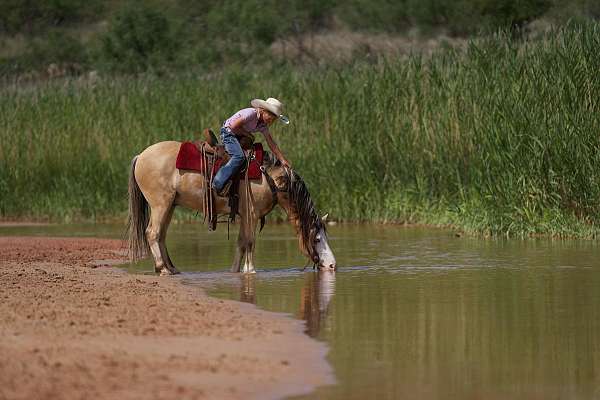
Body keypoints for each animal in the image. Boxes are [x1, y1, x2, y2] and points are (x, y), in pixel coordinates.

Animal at [126, 140, 336, 276]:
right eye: (317, 239)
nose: (332, 265)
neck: (271, 179)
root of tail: (140, 156)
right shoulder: (251, 214)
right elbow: (250, 241)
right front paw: (250, 270)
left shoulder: (245, 216)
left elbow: (241, 242)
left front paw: (234, 271)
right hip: (160, 204)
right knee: (152, 233)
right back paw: (162, 268)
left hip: (169, 206)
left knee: (161, 235)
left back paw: (171, 268)